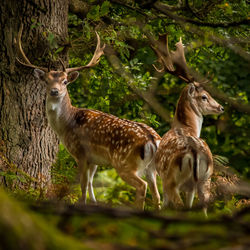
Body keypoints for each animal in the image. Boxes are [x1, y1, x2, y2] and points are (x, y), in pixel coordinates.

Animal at [15, 24, 161, 209]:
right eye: (46, 81)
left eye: (65, 81)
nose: (54, 91)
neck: (65, 125)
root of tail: (153, 140)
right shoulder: (94, 160)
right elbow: (91, 184)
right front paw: (94, 204)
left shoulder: (81, 152)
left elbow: (83, 186)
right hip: (152, 168)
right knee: (157, 194)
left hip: (124, 163)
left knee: (142, 186)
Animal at [150, 34, 225, 215]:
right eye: (204, 96)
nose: (221, 107)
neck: (185, 126)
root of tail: (195, 154)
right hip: (205, 180)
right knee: (202, 208)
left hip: (172, 180)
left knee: (176, 205)